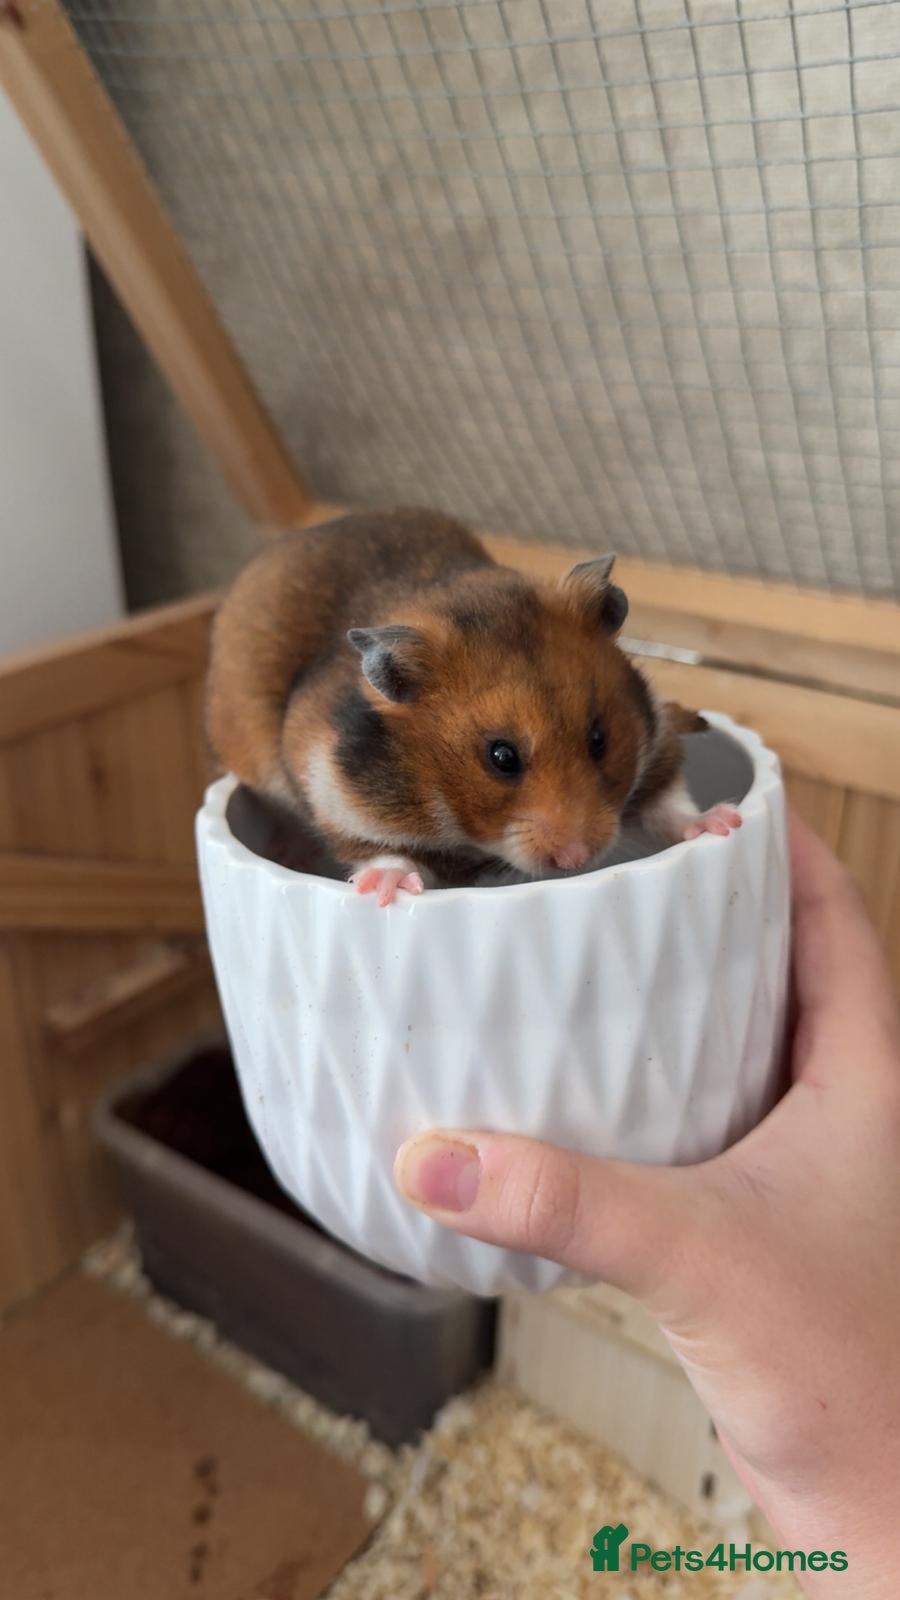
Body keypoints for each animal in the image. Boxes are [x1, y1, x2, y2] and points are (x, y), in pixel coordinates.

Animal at [206, 508, 740, 905]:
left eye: (599, 739)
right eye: (501, 757)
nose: (577, 859)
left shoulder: (656, 746)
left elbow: (668, 804)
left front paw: (723, 822)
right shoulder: (335, 793)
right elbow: (381, 851)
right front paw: (382, 892)